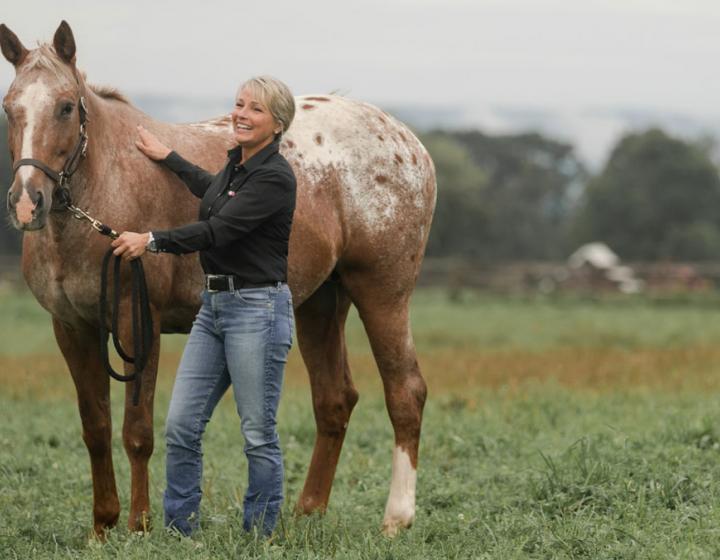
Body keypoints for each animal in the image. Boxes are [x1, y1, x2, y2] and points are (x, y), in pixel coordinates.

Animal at [0, 20, 436, 540]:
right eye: (10, 107)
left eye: (66, 106)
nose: (28, 203)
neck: (109, 183)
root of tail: (407, 141)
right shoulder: (73, 328)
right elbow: (96, 428)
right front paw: (102, 527)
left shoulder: (136, 321)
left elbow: (137, 431)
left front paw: (140, 525)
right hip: (320, 304)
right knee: (334, 401)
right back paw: (307, 512)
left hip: (383, 293)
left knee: (405, 392)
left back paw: (397, 517)